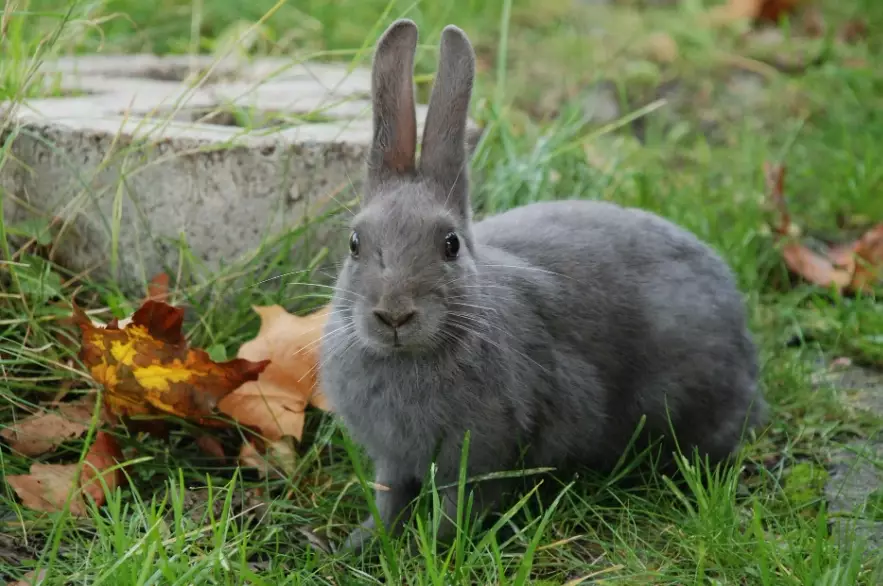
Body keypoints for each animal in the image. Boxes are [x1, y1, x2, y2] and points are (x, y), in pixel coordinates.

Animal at [318, 19, 767, 553]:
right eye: (354, 243)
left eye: (450, 244)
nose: (393, 314)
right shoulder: (393, 459)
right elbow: (389, 500)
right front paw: (362, 544)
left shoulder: (480, 456)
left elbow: (457, 508)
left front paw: (435, 548)